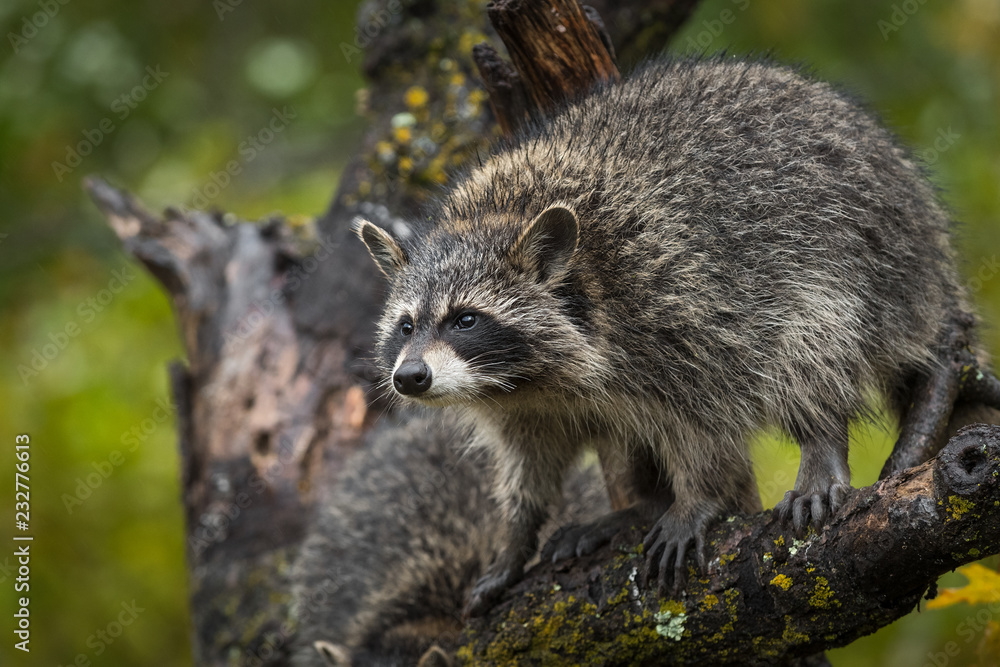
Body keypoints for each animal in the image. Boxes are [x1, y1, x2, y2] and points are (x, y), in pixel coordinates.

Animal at [356, 56, 965, 614]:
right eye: (406, 325)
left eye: (465, 319)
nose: (409, 377)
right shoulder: (523, 405)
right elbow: (531, 462)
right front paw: (516, 537)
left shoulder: (680, 303)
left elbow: (706, 420)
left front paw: (698, 498)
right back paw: (641, 503)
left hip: (862, 262)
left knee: (810, 347)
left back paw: (819, 440)